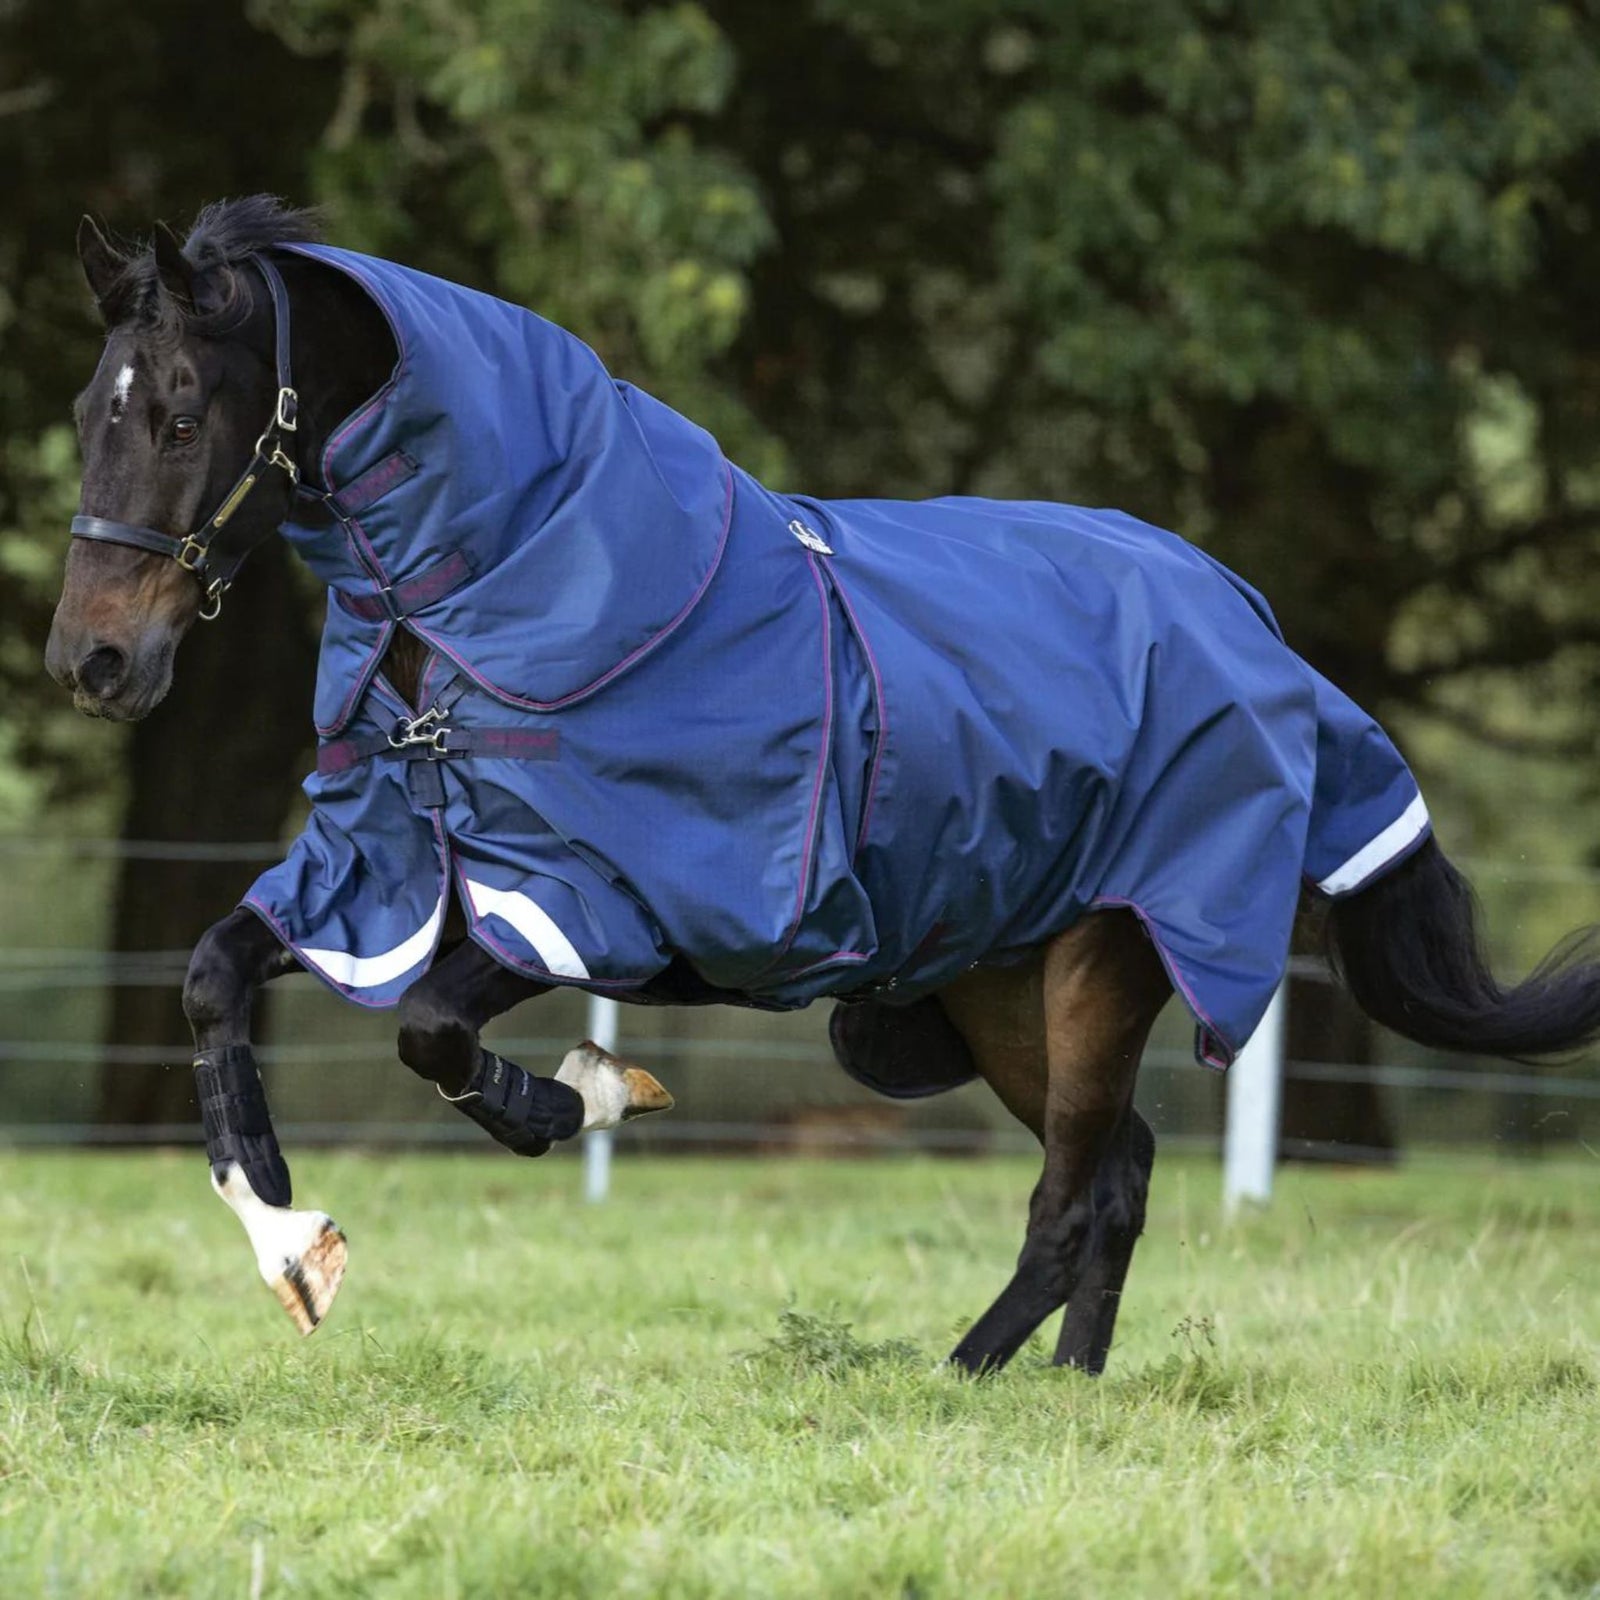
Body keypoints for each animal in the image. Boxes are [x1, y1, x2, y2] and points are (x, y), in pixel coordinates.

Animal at [44, 196, 1600, 1372]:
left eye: (177, 415)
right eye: (85, 412)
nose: (93, 659)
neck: (507, 594)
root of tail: (1261, 634)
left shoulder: (590, 902)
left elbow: (431, 1034)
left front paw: (592, 1095)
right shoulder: (381, 873)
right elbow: (213, 978)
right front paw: (288, 1242)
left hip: (1108, 960)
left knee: (1072, 1195)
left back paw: (960, 1378)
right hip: (997, 983)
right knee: (1125, 1172)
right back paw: (1066, 1385)